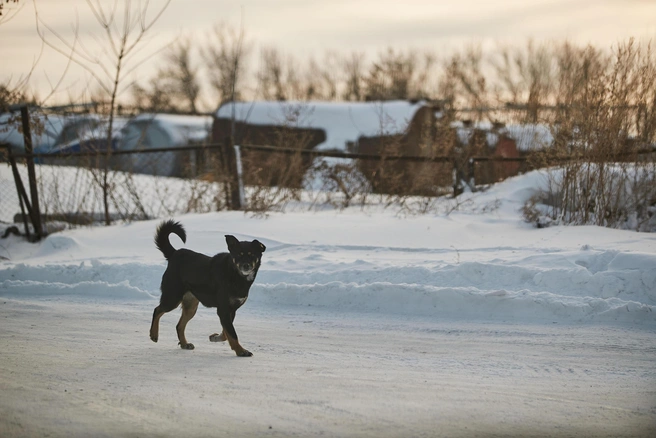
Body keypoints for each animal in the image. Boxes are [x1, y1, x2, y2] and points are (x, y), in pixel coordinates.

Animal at [150, 219, 266, 356]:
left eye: (252, 255)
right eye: (239, 255)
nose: (245, 265)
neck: (234, 274)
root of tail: (175, 253)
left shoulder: (231, 310)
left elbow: (226, 333)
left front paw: (215, 337)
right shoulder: (223, 309)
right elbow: (232, 333)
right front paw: (241, 351)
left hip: (191, 306)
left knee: (179, 325)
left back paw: (184, 344)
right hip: (172, 297)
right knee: (157, 310)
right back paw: (154, 334)